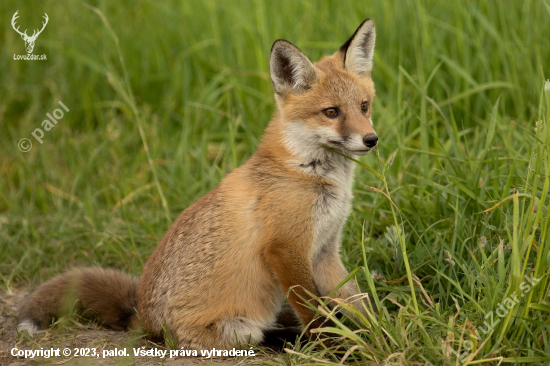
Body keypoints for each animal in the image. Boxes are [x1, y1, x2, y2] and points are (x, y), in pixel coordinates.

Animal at [17, 18, 380, 350]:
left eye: (364, 106)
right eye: (331, 112)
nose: (371, 139)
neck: (308, 172)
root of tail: (145, 323)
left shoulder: (325, 250)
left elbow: (357, 301)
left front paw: (378, 335)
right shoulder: (286, 249)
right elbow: (315, 312)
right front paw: (333, 348)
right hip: (239, 330)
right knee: (261, 337)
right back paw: (292, 341)